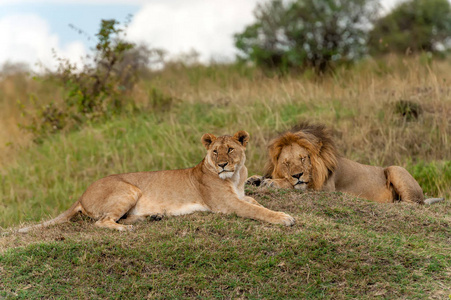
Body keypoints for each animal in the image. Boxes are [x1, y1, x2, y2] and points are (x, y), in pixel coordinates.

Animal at [20, 130, 296, 233]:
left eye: (230, 149)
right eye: (215, 151)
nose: (222, 165)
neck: (236, 177)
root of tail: (80, 194)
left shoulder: (240, 196)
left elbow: (256, 204)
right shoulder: (227, 205)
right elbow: (256, 211)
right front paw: (284, 218)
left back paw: (153, 217)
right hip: (128, 189)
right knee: (102, 222)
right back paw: (127, 229)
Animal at [249, 123, 444, 205]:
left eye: (303, 158)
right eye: (287, 163)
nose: (297, 175)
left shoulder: (325, 189)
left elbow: (294, 185)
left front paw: (272, 182)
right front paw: (254, 179)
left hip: (395, 169)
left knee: (413, 203)